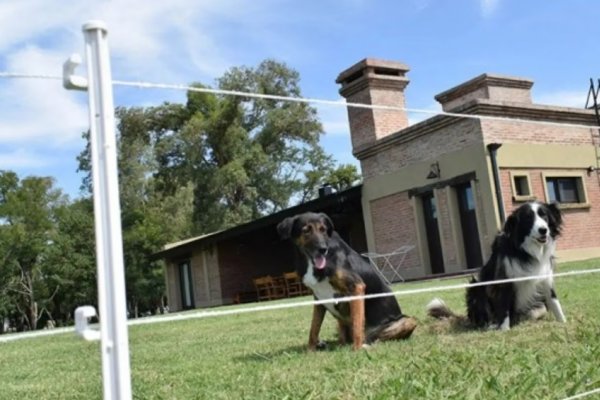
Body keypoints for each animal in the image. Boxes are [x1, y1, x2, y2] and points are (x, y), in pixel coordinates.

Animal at [278, 212, 414, 350]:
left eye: (323, 230)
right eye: (306, 230)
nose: (323, 249)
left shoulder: (356, 287)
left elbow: (357, 323)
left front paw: (357, 350)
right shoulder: (318, 298)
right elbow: (314, 329)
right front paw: (310, 350)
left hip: (408, 321)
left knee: (376, 337)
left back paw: (367, 344)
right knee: (343, 336)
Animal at [428, 202, 564, 330]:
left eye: (544, 216)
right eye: (528, 218)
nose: (543, 230)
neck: (525, 251)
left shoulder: (545, 278)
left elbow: (554, 301)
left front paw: (563, 321)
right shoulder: (503, 280)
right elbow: (504, 306)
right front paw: (504, 329)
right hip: (476, 288)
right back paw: (490, 325)